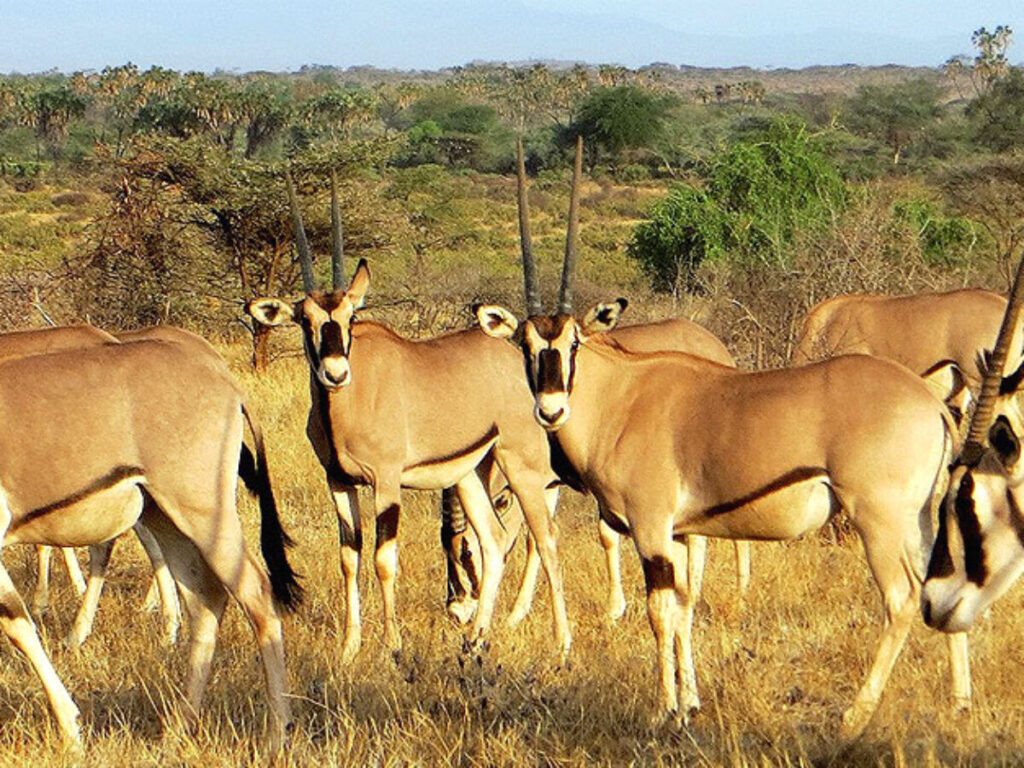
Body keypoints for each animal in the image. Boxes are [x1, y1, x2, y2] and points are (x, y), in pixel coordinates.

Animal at [0, 333, 299, 749]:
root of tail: (224, 381)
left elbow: (17, 624)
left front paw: (71, 730)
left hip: (203, 512)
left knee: (254, 592)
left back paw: (275, 733)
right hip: (164, 517)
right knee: (205, 601)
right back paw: (177, 729)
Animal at [245, 173, 569, 663]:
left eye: (350, 316)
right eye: (305, 319)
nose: (335, 372)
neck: (349, 402)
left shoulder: (387, 480)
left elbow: (384, 559)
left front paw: (391, 646)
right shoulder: (337, 480)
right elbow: (349, 557)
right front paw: (349, 648)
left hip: (522, 467)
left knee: (545, 540)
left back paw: (560, 643)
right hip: (471, 474)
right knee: (493, 543)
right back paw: (477, 638)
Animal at [475, 135, 970, 741]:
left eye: (573, 344)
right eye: (525, 346)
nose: (551, 409)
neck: (620, 396)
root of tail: (930, 401)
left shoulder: (652, 528)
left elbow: (661, 612)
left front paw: (663, 709)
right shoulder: (687, 534)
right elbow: (687, 608)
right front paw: (690, 701)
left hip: (879, 517)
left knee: (901, 598)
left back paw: (855, 716)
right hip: (918, 516)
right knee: (940, 587)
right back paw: (959, 705)